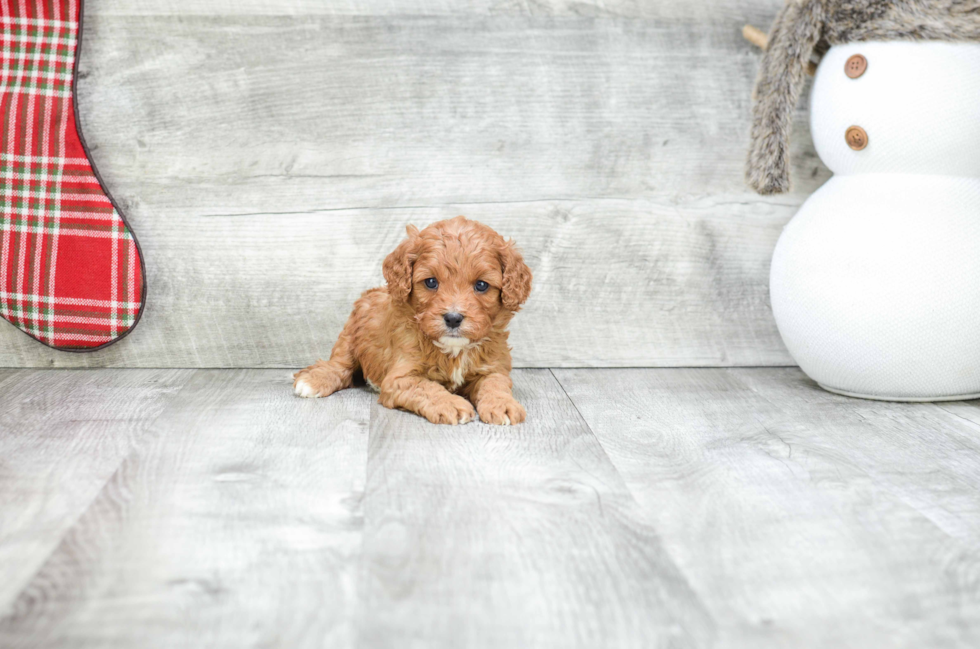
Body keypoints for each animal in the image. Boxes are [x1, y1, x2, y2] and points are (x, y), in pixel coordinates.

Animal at [294, 216, 532, 426]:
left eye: (481, 285)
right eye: (431, 282)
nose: (453, 318)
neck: (454, 351)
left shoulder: (493, 367)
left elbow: (495, 384)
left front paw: (503, 405)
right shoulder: (400, 377)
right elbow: (426, 387)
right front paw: (450, 404)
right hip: (350, 336)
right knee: (340, 365)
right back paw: (313, 380)